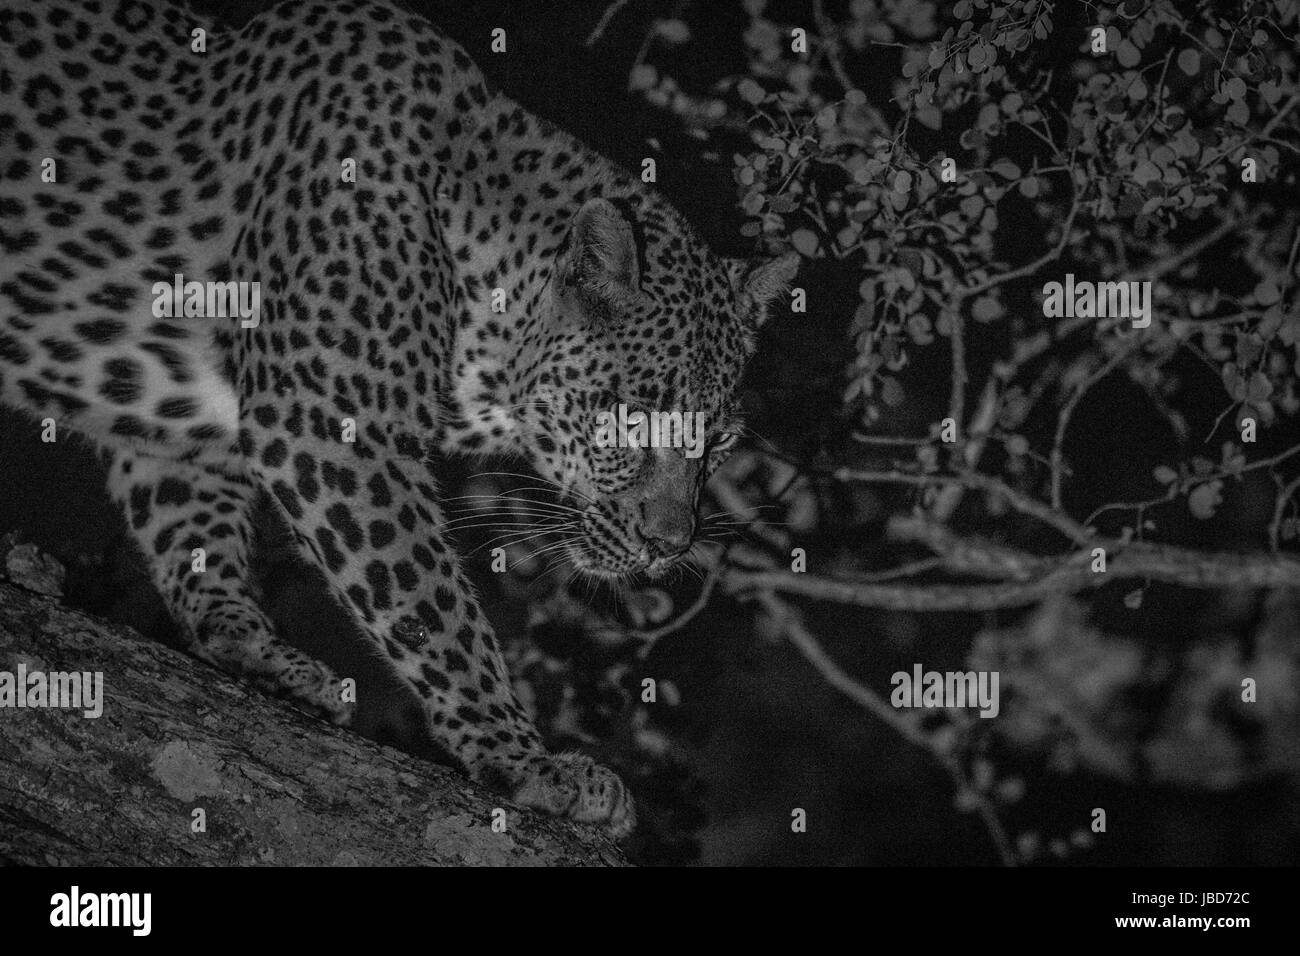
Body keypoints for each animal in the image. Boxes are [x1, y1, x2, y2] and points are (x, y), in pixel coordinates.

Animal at [0, 0, 790, 837]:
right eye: (634, 412)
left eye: (722, 438)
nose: (669, 545)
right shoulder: (333, 422)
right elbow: (435, 611)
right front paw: (528, 761)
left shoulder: (183, 422)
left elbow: (192, 530)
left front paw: (252, 649)